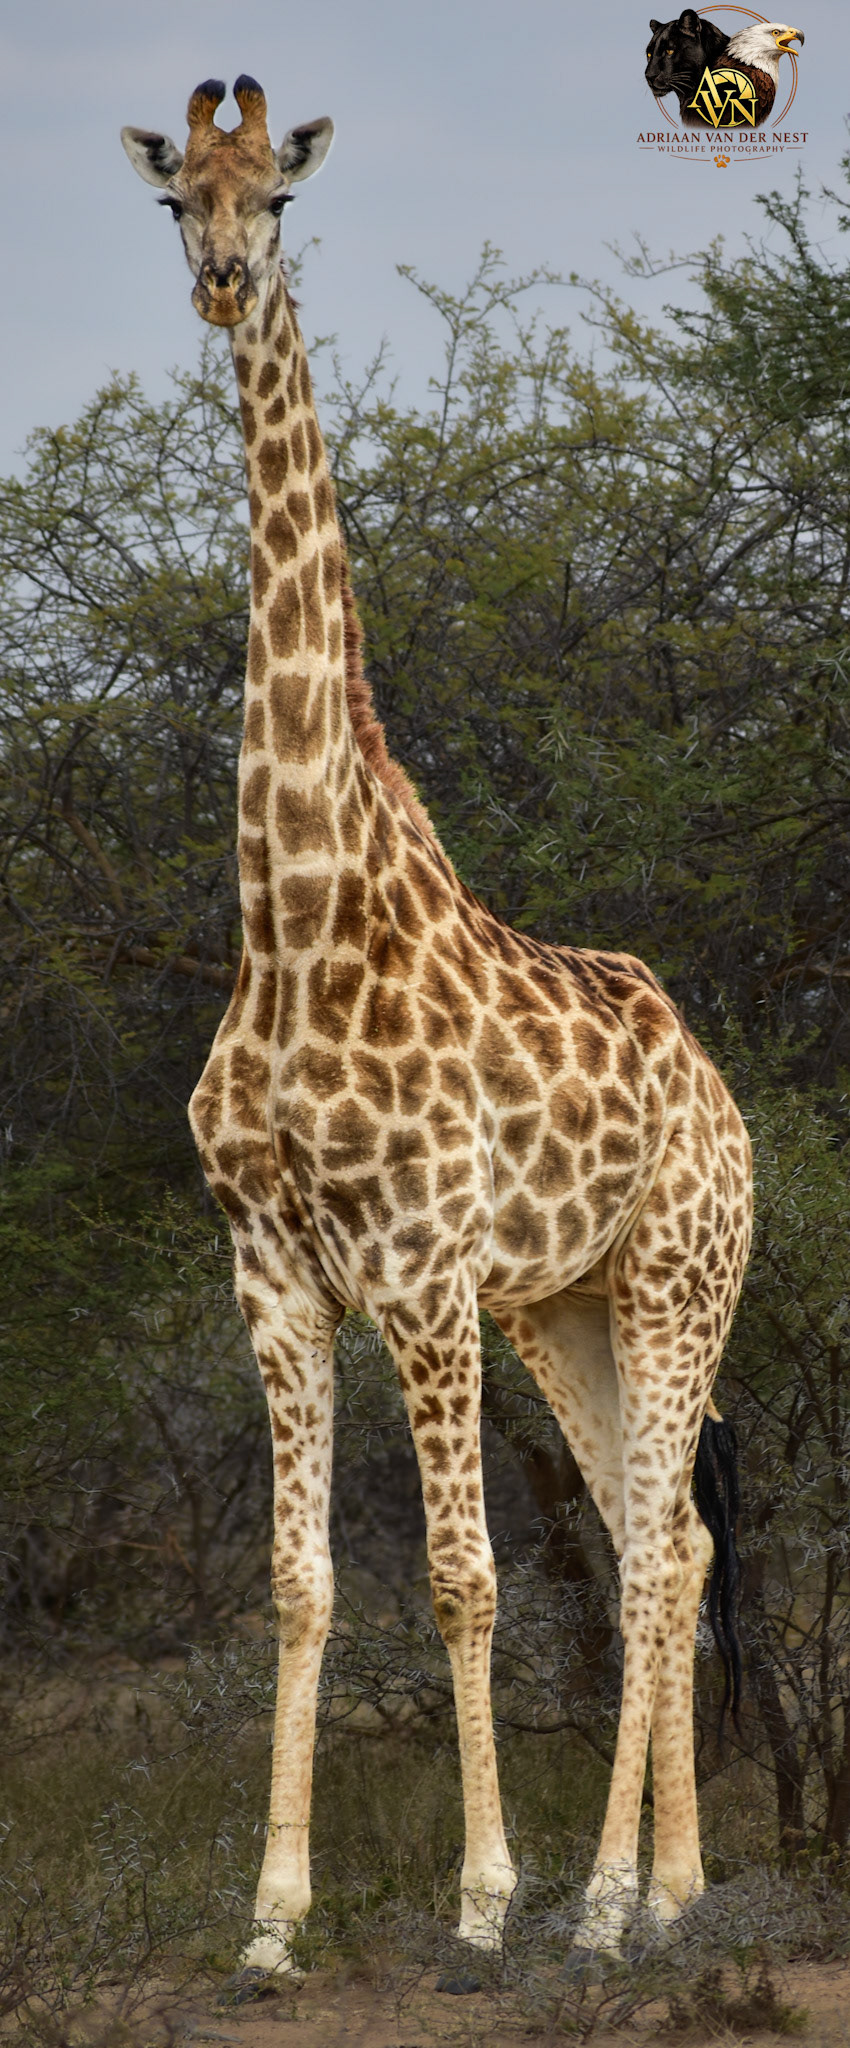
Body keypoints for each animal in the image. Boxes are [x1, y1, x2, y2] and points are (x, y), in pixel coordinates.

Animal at [122, 78, 752, 1984]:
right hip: (567, 1305)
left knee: (646, 1553)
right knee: (670, 1533)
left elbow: (467, 1579)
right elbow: (303, 1582)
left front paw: (482, 1898)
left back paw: (601, 1910)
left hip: (678, 1276)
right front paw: (269, 1924)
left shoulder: (415, 1270)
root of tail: (727, 1102)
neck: (295, 922)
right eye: (176, 196)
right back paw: (666, 1889)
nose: (224, 282)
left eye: (280, 197)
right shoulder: (273, 1270)